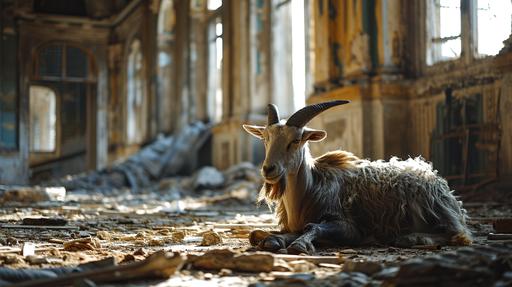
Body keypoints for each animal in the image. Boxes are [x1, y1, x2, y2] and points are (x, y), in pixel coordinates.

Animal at [244, 101, 472, 256]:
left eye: (296, 140)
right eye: (265, 139)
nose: (269, 169)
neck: (311, 188)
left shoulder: (351, 227)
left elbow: (313, 227)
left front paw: (299, 244)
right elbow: (257, 233)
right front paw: (273, 240)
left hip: (434, 210)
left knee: (458, 234)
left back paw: (412, 237)